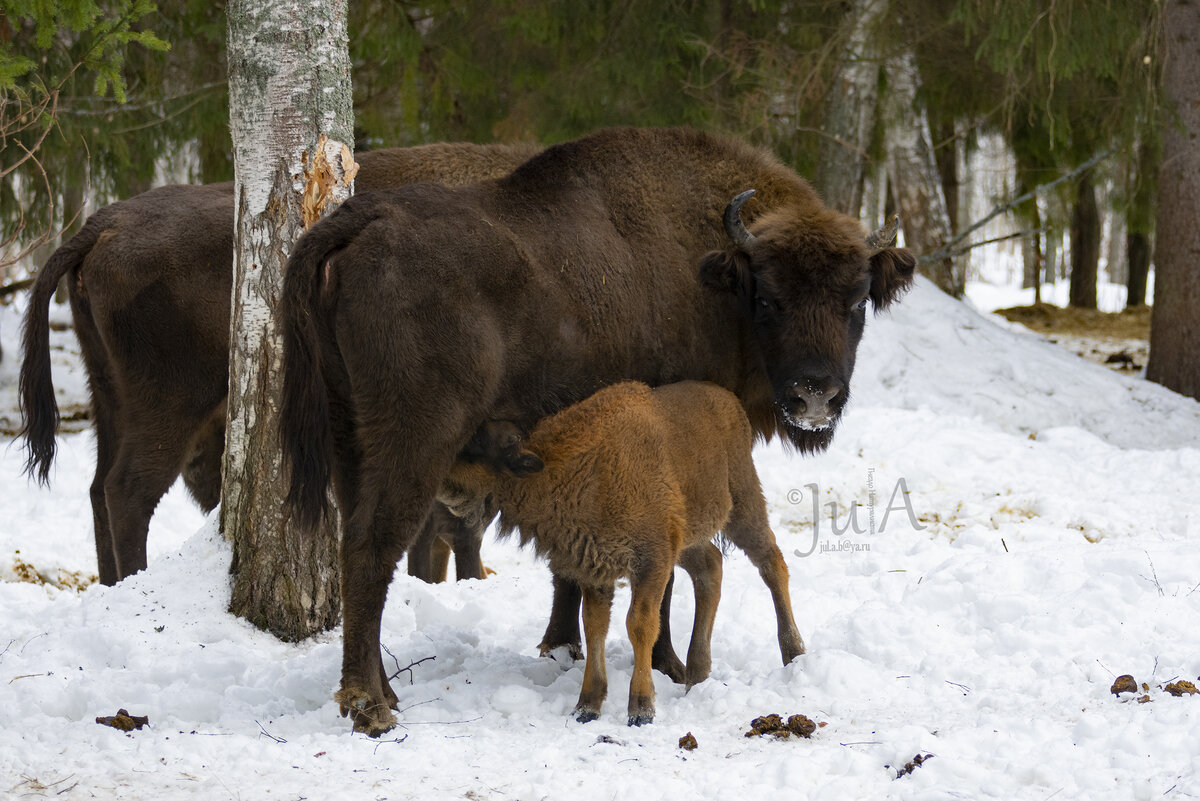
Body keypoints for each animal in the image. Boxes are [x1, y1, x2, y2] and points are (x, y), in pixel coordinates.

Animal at [436, 381, 801, 724]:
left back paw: (793, 653)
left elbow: (639, 625)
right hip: (688, 540)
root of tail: (728, 400)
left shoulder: (651, 563)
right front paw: (587, 707)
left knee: (772, 564)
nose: (441, 481)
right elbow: (594, 625)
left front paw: (641, 709)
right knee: (711, 565)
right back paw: (697, 675)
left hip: (743, 507)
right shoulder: (597, 568)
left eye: (476, 449)